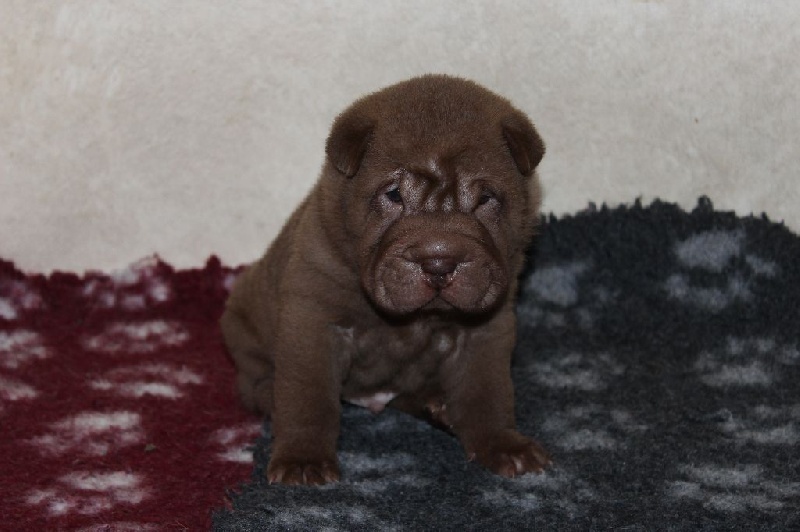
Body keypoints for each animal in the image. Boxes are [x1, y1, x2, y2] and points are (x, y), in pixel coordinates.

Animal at [221, 74, 549, 485]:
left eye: (485, 199)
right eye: (393, 195)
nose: (439, 262)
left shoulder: (486, 327)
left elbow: (487, 392)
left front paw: (505, 446)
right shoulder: (314, 319)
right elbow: (308, 395)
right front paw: (303, 459)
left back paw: (439, 405)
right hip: (244, 326)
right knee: (256, 383)